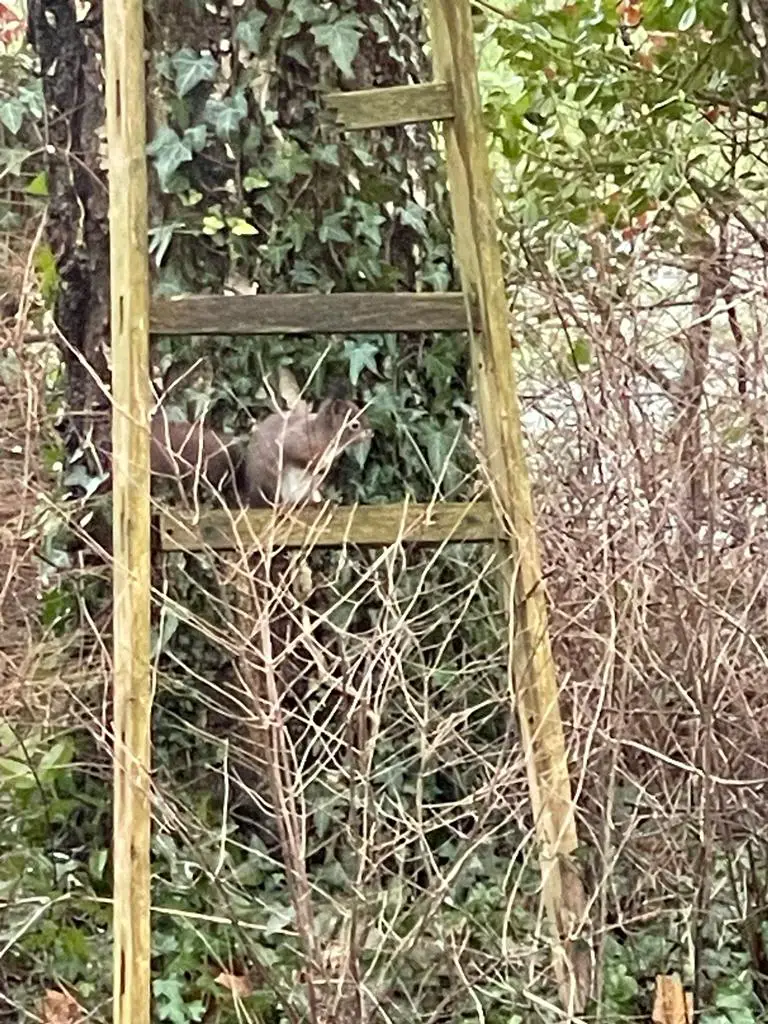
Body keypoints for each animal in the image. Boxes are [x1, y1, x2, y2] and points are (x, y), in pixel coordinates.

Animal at [241, 395, 370, 507]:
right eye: (355, 425)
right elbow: (295, 454)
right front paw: (310, 464)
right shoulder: (295, 440)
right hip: (272, 479)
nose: (371, 433)